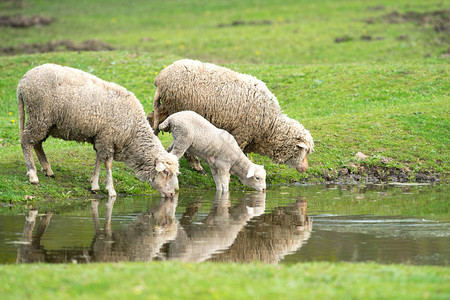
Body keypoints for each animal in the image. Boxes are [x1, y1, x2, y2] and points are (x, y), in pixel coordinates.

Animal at [17, 63, 179, 198]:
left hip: (44, 121)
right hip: (39, 115)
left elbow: (98, 159)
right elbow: (108, 163)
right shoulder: (107, 136)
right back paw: (33, 175)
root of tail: (23, 81)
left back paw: (47, 169)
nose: (172, 194)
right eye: (165, 172)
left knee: (37, 143)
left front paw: (94, 184)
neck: (132, 133)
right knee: (26, 141)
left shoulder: (101, 137)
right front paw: (111, 190)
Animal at [149, 58, 314, 173]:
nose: (305, 169)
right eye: (304, 151)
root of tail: (160, 78)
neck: (269, 127)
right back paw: (197, 166)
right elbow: (238, 152)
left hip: (166, 107)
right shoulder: (242, 132)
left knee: (151, 120)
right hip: (179, 110)